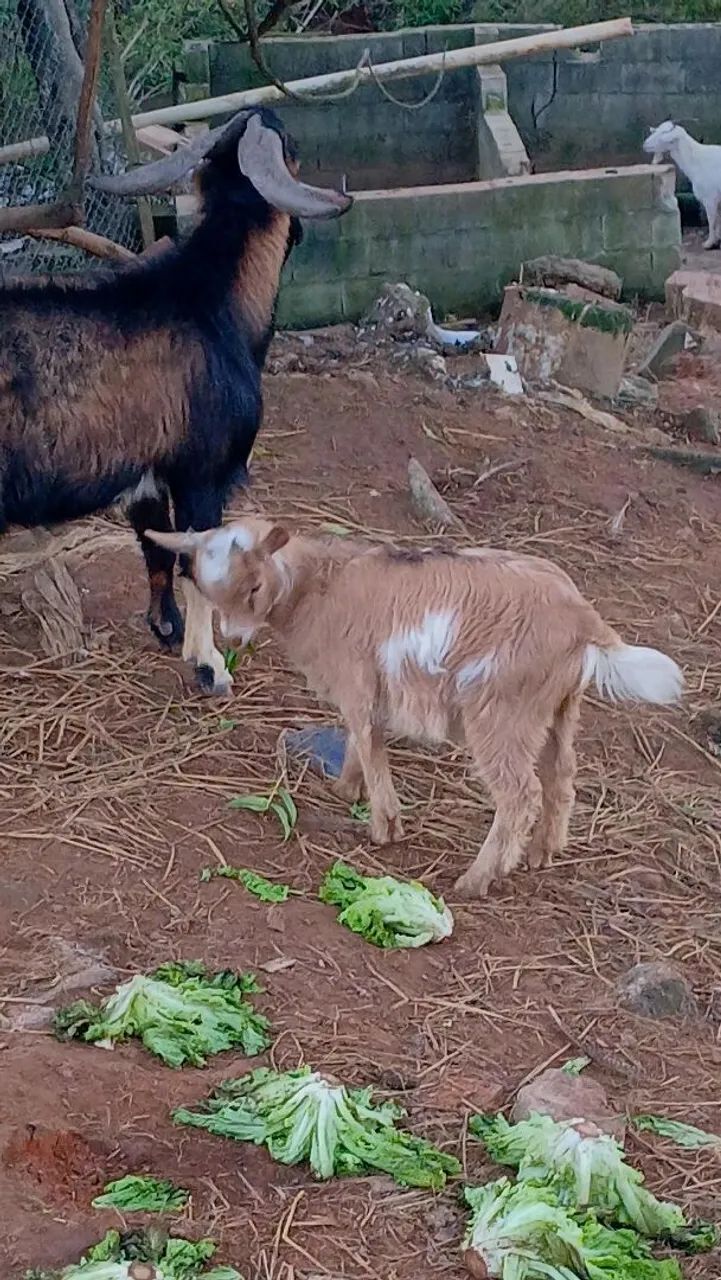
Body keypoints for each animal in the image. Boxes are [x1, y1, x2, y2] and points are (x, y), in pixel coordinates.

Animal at [0, 109, 351, 693]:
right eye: (293, 144)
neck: (212, 303)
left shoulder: (147, 477)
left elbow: (156, 552)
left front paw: (167, 629)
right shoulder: (201, 473)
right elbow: (197, 566)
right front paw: (211, 667)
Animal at [146, 519, 683, 896]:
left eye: (254, 587)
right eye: (210, 593)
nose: (235, 639)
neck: (321, 585)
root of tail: (584, 620)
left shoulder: (358, 678)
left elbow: (367, 739)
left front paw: (383, 824)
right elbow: (359, 740)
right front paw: (346, 790)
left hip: (501, 713)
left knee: (519, 794)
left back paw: (475, 880)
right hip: (557, 709)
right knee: (561, 777)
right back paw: (542, 853)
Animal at [644, 120, 721, 250]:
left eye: (664, 133)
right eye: (657, 130)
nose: (645, 144)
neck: (698, 161)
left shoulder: (710, 198)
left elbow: (712, 221)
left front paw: (709, 243)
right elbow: (718, 220)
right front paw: (718, 239)